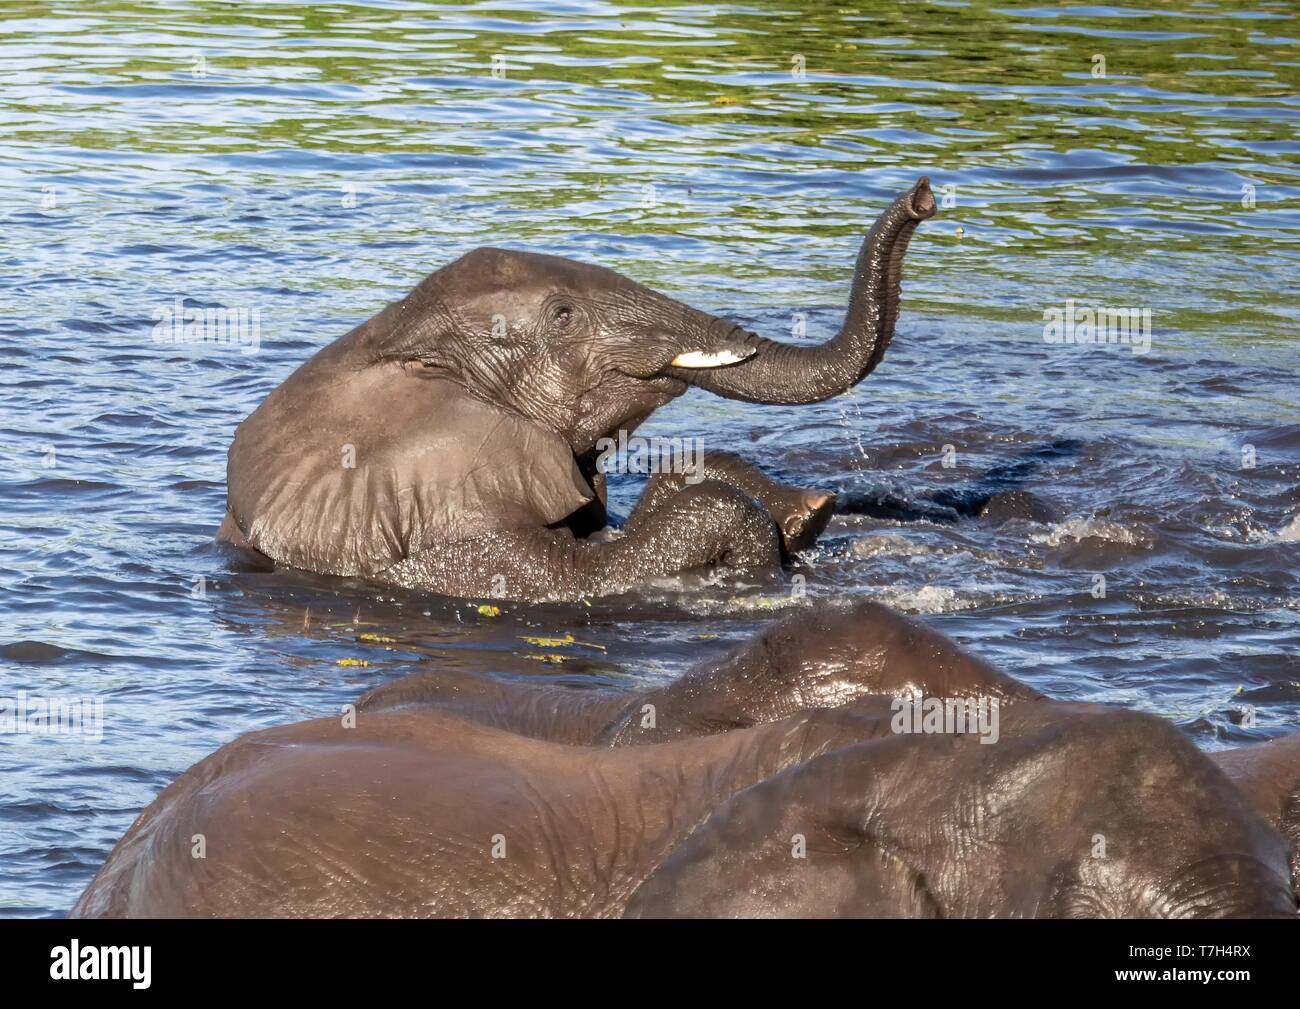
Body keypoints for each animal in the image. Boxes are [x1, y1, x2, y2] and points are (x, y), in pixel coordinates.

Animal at [220, 179, 935, 598]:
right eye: (563, 316)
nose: (925, 196)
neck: (392, 341)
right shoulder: (450, 537)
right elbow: (585, 575)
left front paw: (806, 515)